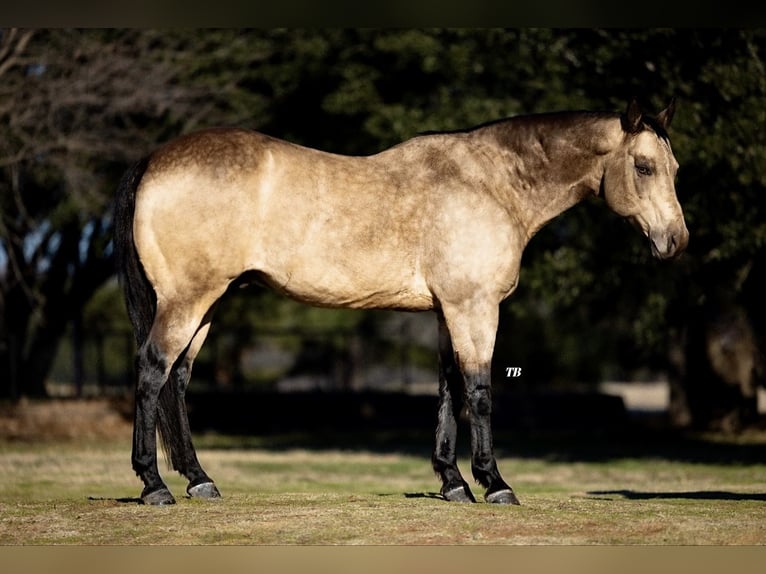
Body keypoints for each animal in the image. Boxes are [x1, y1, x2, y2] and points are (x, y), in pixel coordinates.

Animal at [112, 99, 688, 508]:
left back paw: (199, 480)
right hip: (187, 300)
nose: (675, 242)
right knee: (152, 370)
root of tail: (154, 159)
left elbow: (449, 388)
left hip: (207, 304)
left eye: (675, 167)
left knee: (178, 380)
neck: (492, 184)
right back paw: (154, 485)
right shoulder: (475, 308)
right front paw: (495, 483)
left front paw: (453, 483)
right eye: (643, 167)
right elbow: (479, 391)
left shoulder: (447, 311)